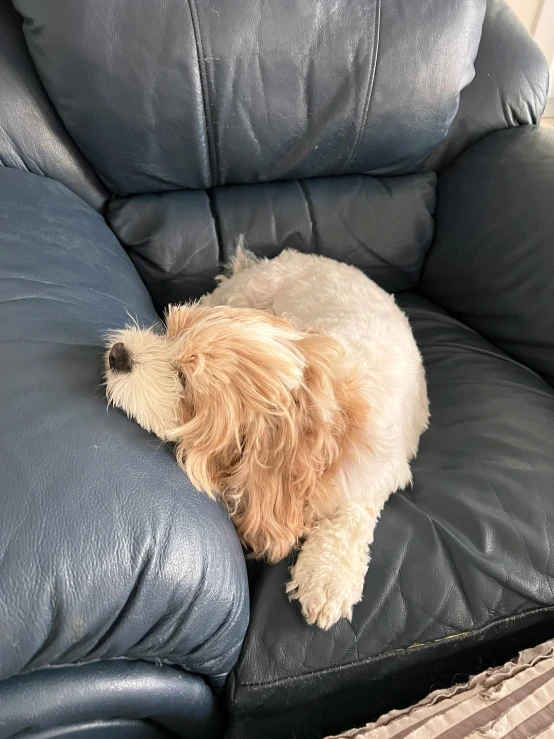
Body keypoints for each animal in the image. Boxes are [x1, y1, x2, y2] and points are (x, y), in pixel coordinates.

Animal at [105, 249, 430, 632]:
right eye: (170, 332)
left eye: (184, 379)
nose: (118, 354)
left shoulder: (377, 475)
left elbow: (352, 516)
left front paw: (327, 578)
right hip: (243, 292)